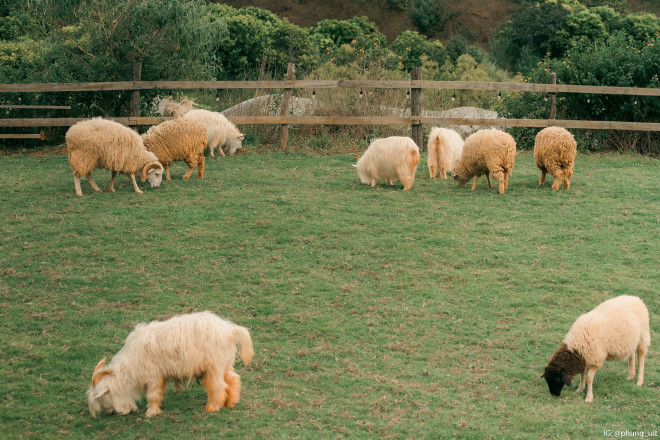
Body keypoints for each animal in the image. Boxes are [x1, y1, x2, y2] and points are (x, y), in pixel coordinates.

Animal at [87, 312, 253, 418]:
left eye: (103, 397)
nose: (110, 413)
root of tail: (230, 330)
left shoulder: (153, 376)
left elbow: (153, 395)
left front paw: (151, 413)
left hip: (215, 366)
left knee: (218, 386)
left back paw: (212, 408)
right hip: (224, 363)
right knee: (233, 379)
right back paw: (230, 403)